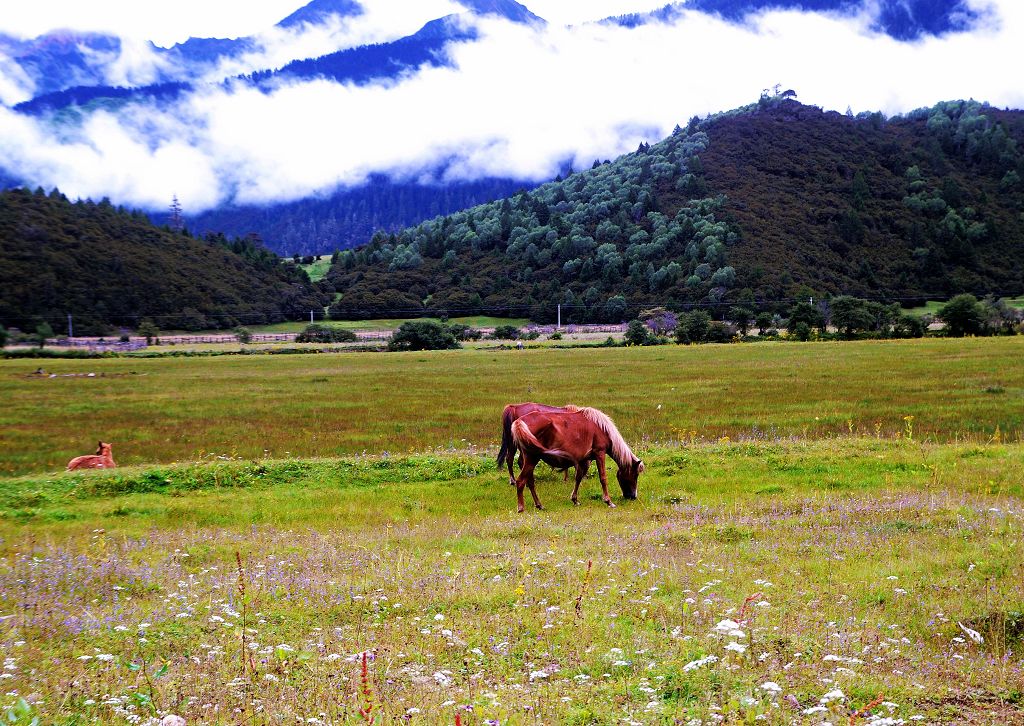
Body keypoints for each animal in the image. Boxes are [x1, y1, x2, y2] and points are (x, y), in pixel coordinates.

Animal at [509, 407, 643, 509]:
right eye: (635, 475)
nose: (633, 496)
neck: (602, 428)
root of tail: (519, 421)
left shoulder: (584, 460)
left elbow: (578, 478)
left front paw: (575, 500)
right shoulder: (600, 453)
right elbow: (603, 478)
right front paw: (608, 501)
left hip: (529, 460)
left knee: (530, 482)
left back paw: (539, 505)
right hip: (532, 459)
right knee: (521, 481)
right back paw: (521, 507)